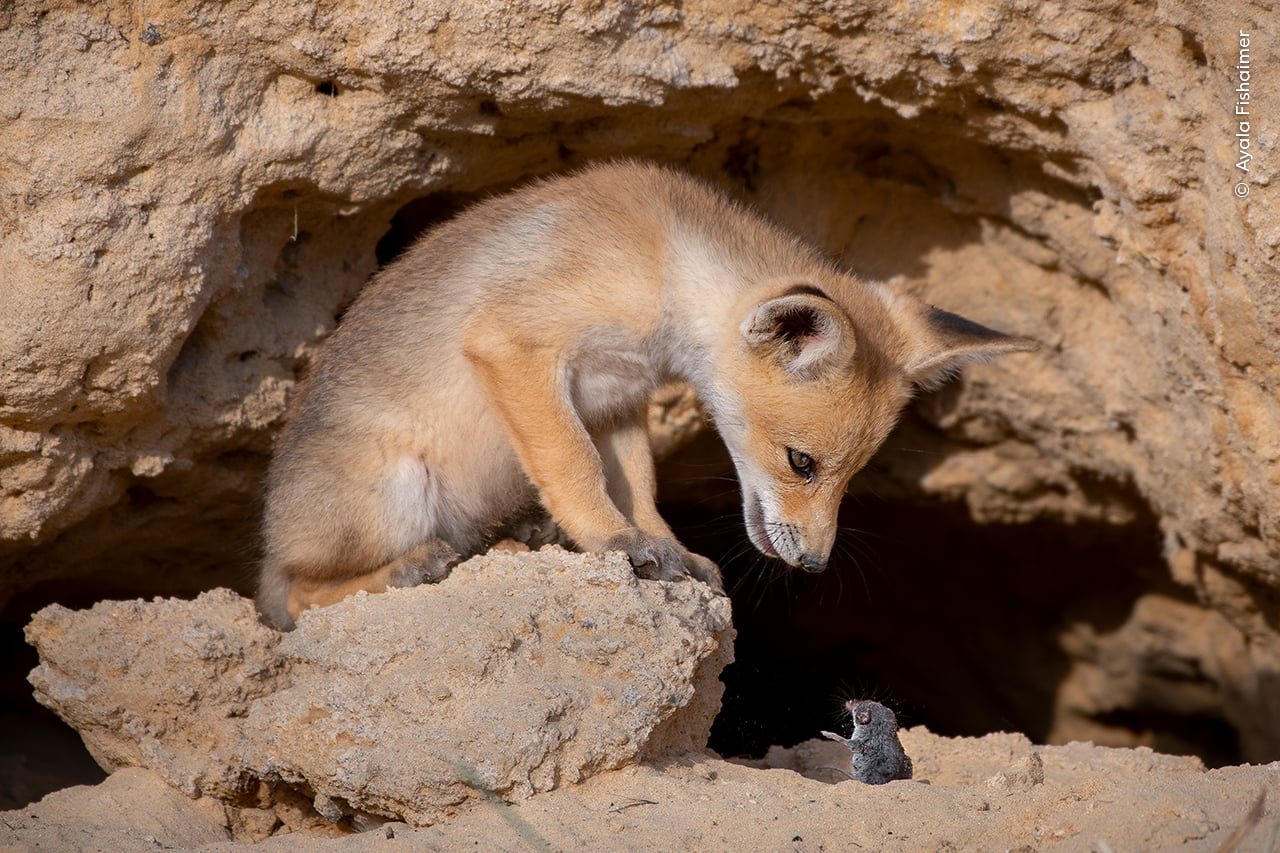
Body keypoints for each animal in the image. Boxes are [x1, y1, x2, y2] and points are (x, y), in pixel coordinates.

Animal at [257, 161, 1037, 629]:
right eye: (803, 463)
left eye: (853, 476)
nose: (814, 565)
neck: (662, 262)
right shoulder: (515, 345)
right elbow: (574, 467)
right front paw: (610, 541)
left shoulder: (617, 400)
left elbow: (639, 486)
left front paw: (665, 548)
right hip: (395, 493)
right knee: (294, 597)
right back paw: (409, 568)